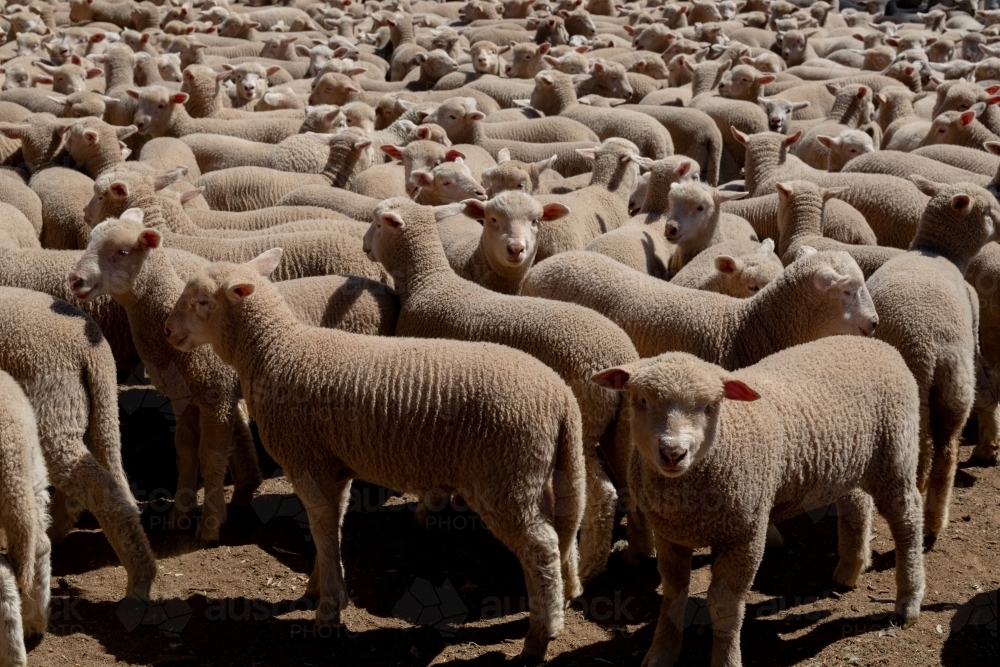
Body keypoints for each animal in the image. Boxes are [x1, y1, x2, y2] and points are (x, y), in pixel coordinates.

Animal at [162, 248, 585, 660]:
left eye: (201, 301)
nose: (168, 330)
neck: (275, 352)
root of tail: (561, 398)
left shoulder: (305, 461)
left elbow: (320, 526)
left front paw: (328, 611)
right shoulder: (335, 465)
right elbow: (333, 525)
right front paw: (319, 584)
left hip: (504, 477)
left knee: (541, 547)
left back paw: (540, 636)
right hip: (540, 470)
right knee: (564, 527)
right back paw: (564, 599)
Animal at [366, 196, 633, 582]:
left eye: (376, 223)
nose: (364, 246)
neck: (428, 282)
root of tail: (620, 357)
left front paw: (427, 509)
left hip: (585, 426)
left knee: (600, 495)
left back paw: (588, 568)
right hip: (619, 428)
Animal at [599, 337, 924, 667]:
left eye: (710, 406)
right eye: (641, 400)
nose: (673, 453)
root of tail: (876, 343)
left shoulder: (745, 537)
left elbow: (724, 605)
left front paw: (726, 660)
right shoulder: (669, 535)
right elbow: (673, 593)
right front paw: (662, 652)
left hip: (895, 454)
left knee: (908, 521)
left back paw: (908, 601)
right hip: (849, 464)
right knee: (856, 504)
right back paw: (850, 569)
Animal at [867, 177, 1000, 544]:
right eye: (989, 211)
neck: (938, 252)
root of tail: (931, 349)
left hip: (941, 389)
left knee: (934, 452)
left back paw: (929, 512)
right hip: (950, 389)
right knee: (941, 454)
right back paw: (934, 519)